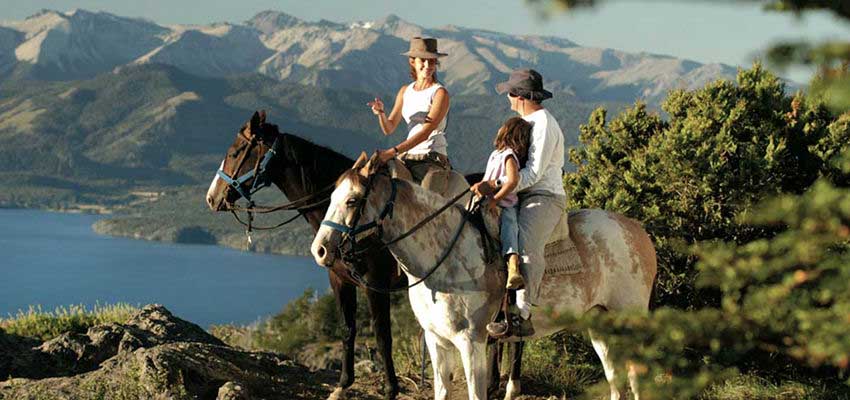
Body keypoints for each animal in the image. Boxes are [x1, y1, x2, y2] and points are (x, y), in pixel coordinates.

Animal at [205, 111, 404, 400]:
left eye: (235, 152)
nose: (211, 197)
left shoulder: (375, 284)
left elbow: (382, 335)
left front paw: (390, 390)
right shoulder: (339, 279)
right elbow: (347, 329)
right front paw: (342, 385)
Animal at [311, 154, 657, 400]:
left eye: (353, 200)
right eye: (332, 196)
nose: (320, 250)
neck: (444, 256)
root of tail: (637, 232)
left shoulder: (471, 341)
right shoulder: (436, 341)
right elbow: (441, 391)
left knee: (637, 380)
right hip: (601, 326)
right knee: (616, 382)